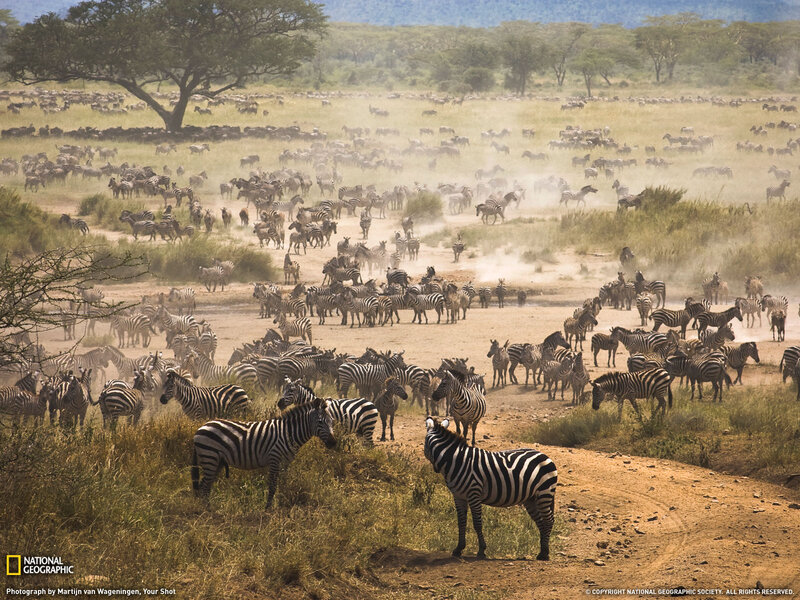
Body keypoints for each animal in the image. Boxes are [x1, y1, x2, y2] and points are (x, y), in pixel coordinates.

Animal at [191, 398, 335, 507]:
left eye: (332, 422)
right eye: (320, 422)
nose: (333, 443)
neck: (288, 433)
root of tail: (201, 428)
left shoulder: (285, 462)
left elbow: (283, 483)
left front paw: (282, 502)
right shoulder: (274, 458)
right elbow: (272, 485)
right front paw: (268, 508)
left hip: (217, 461)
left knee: (205, 485)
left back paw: (207, 508)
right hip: (210, 456)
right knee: (205, 485)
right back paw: (207, 511)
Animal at [423, 417, 557, 560]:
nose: (435, 469)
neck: (457, 461)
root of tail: (544, 455)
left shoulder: (474, 493)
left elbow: (477, 523)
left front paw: (481, 550)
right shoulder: (458, 496)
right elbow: (461, 522)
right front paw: (458, 549)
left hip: (544, 493)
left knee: (548, 520)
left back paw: (545, 553)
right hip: (531, 498)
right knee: (540, 521)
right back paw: (542, 551)